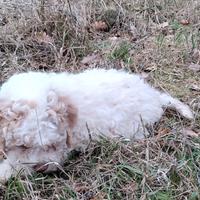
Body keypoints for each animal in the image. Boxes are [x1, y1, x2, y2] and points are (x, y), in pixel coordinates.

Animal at [0, 68, 194, 181]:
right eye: (23, 146)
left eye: (53, 145)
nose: (42, 167)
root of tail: (154, 96)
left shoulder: (67, 146)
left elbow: (18, 164)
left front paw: (4, 172)